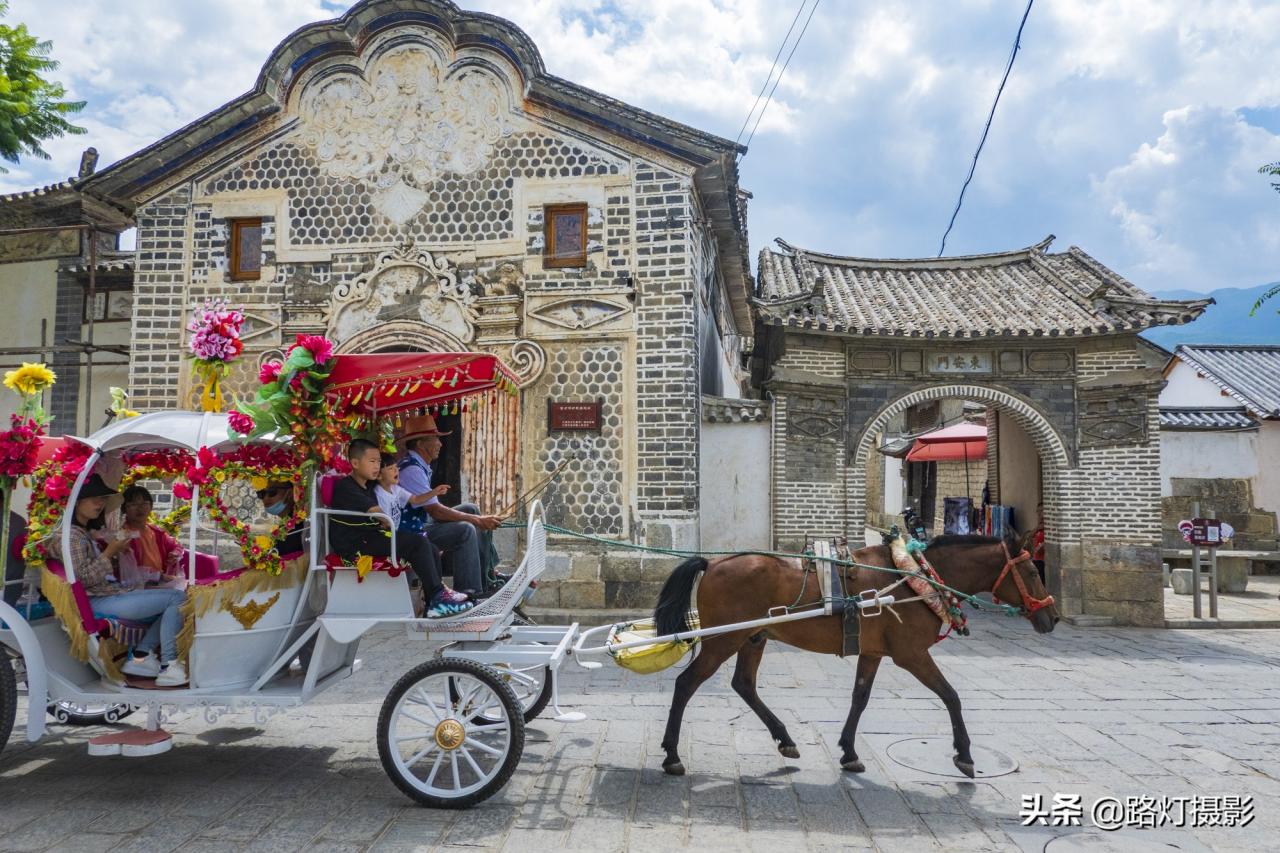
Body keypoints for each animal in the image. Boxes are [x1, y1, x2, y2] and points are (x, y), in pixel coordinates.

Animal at [655, 532, 1054, 778]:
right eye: (1033, 570)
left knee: (744, 685)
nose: (1051, 617)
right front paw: (966, 756)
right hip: (724, 639)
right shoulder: (912, 655)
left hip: (754, 637)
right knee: (686, 684)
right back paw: (672, 756)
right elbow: (951, 696)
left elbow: (860, 697)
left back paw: (786, 740)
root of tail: (713, 563)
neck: (917, 578)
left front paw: (849, 752)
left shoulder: (873, 651)